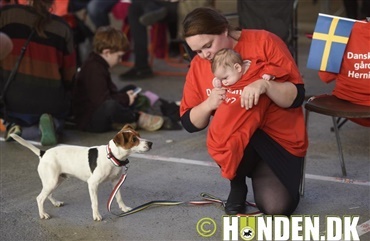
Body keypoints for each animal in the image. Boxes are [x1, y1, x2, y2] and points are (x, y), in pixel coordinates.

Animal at [10, 125, 152, 221]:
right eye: (134, 139)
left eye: (139, 134)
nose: (150, 143)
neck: (111, 156)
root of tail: (43, 153)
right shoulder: (93, 184)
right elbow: (95, 202)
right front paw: (96, 215)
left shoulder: (115, 182)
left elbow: (119, 197)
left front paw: (124, 208)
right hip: (52, 182)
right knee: (40, 198)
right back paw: (42, 214)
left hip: (56, 181)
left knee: (48, 195)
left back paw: (55, 203)